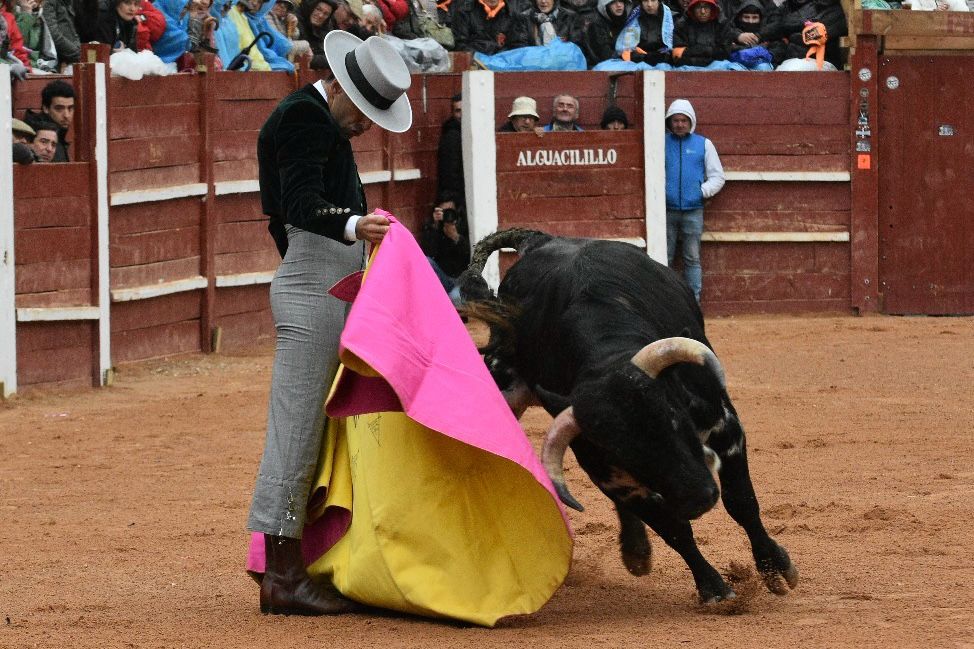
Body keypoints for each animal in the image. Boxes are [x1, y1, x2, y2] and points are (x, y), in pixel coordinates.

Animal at [460, 229, 800, 604]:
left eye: (673, 418)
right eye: (625, 454)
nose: (697, 496)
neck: (605, 354)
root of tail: (541, 240)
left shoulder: (725, 427)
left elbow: (741, 502)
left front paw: (775, 569)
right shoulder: (609, 473)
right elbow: (674, 529)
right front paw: (712, 587)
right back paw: (636, 551)